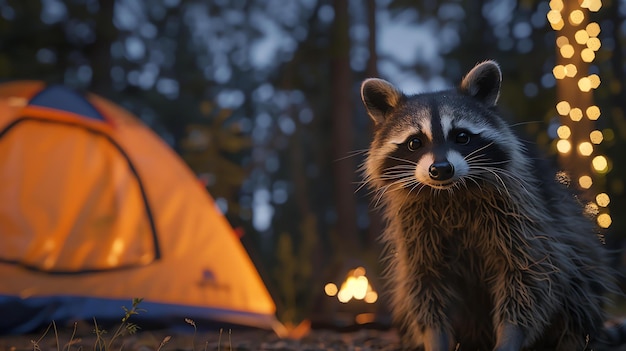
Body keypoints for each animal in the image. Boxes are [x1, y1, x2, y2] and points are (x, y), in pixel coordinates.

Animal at [360, 61, 620, 351]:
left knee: (579, 279)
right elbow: (425, 283)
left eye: (462, 137)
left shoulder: (523, 212)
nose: (441, 169)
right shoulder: (414, 229)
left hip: (573, 238)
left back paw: (574, 339)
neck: (450, 193)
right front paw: (435, 337)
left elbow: (530, 273)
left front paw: (510, 334)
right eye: (415, 142)